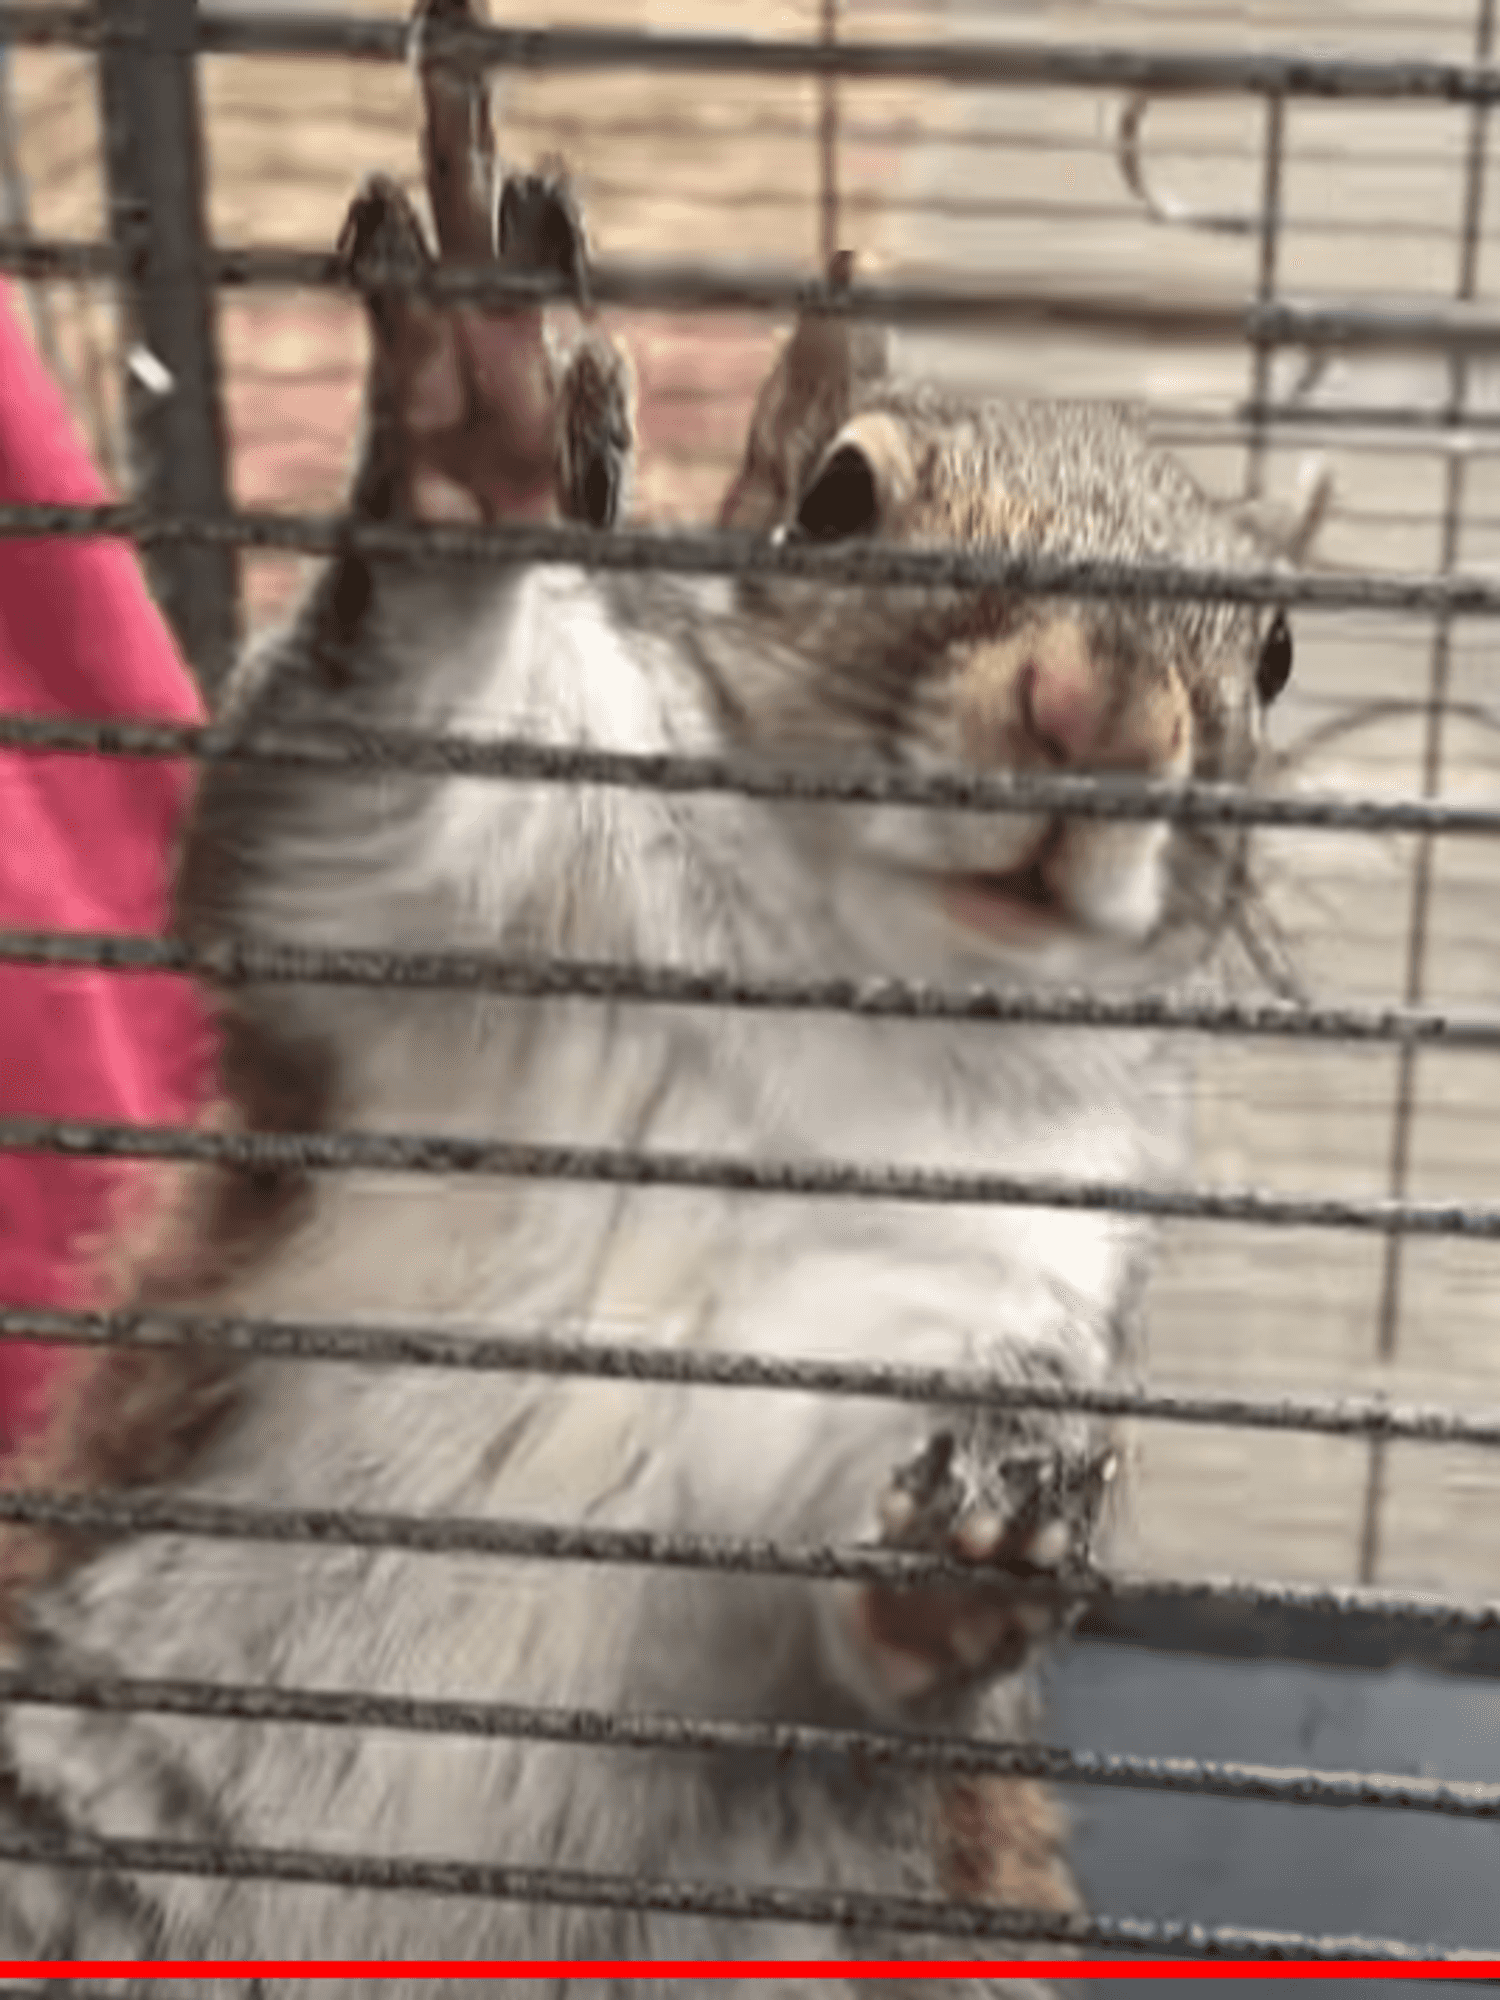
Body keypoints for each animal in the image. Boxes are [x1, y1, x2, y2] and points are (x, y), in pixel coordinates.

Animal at [0, 0, 1299, 1980]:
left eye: (1282, 654)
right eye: (835, 499)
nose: (1099, 716)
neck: (850, 1010)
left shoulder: (970, 1284)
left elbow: (818, 1520)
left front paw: (975, 1553)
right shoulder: (430, 927)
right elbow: (387, 779)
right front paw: (480, 403)